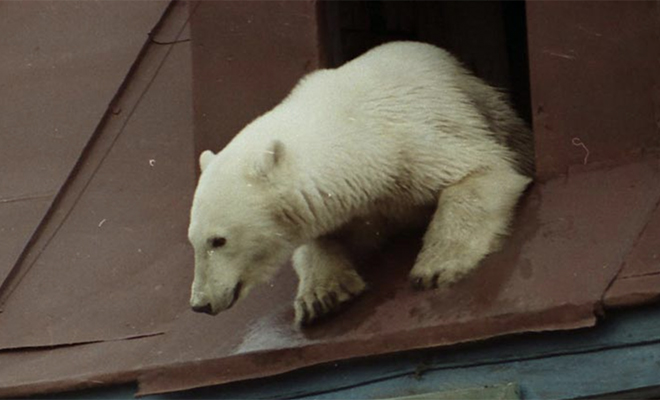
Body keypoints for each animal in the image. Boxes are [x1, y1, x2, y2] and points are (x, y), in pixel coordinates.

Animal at [188, 42, 532, 326]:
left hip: (484, 101)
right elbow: (325, 238)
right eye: (193, 240)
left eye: (218, 240)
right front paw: (320, 296)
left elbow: (481, 171)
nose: (200, 304)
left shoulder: (415, 146)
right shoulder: (359, 206)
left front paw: (436, 266)